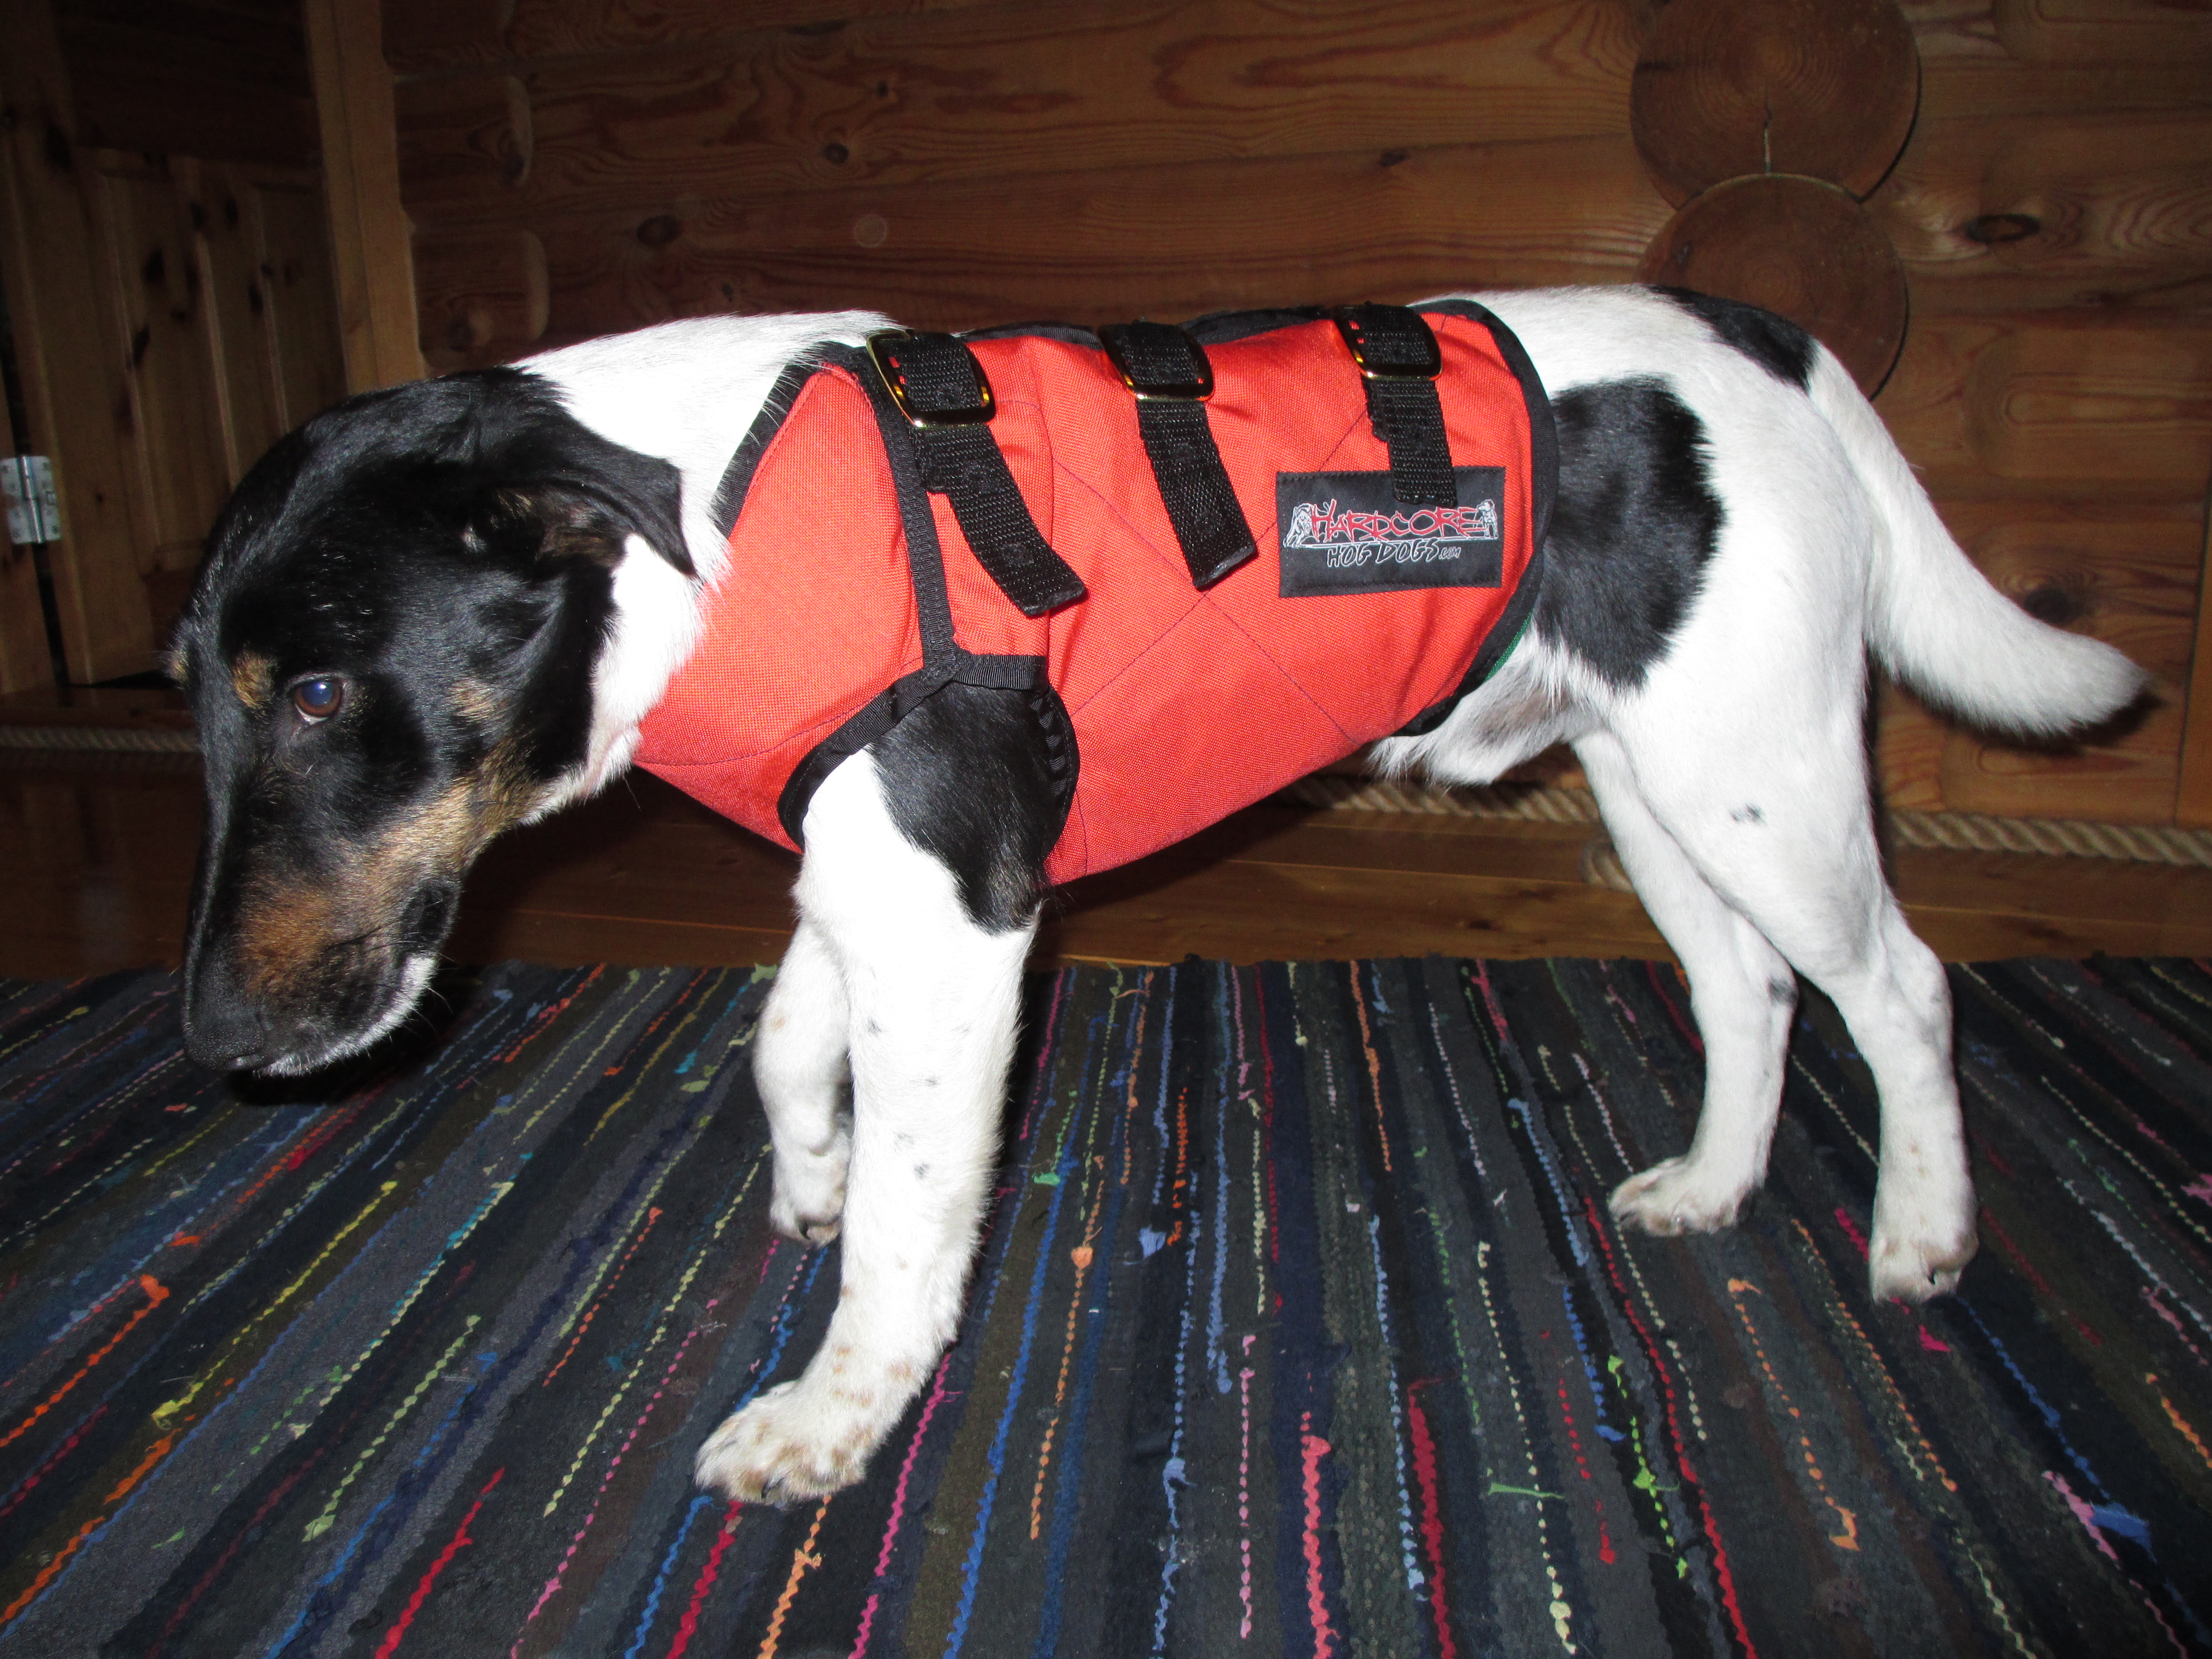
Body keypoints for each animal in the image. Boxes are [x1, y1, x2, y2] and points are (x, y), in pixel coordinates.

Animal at [169, 286, 2147, 1504]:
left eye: (323, 695)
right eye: (191, 694)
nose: (209, 1040)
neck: (706, 532)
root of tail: (1755, 338)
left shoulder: (956, 929)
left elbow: (907, 1232)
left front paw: (837, 1409)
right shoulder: (869, 875)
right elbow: (781, 1048)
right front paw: (809, 1176)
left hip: (1767, 777)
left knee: (1901, 990)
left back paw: (1920, 1232)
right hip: (1661, 781)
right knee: (1750, 993)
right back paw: (1716, 1185)